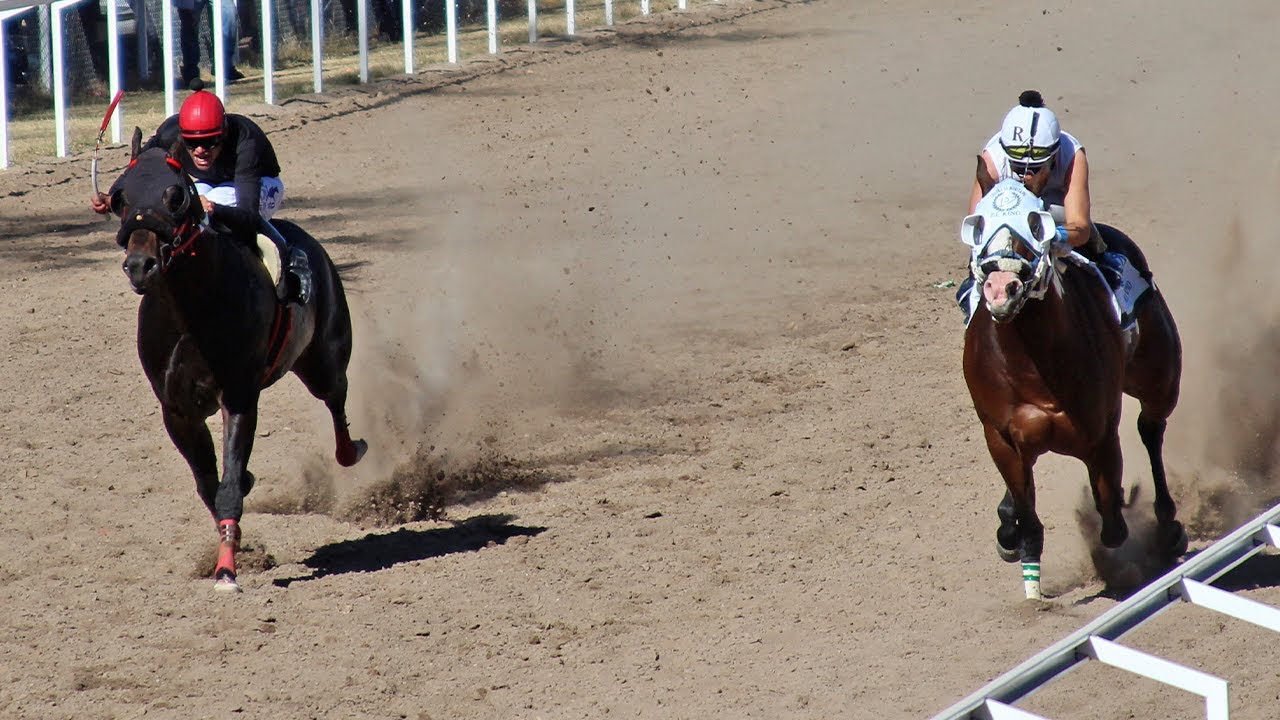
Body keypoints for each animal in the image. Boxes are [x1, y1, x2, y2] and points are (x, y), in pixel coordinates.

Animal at [107, 130, 368, 592]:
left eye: (176, 196)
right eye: (119, 196)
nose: (140, 266)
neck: (191, 309)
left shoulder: (240, 395)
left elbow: (226, 485)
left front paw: (227, 568)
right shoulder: (177, 411)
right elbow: (211, 484)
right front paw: (234, 546)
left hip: (324, 356)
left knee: (336, 397)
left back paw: (350, 450)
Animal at [960, 161, 1186, 600]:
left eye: (1036, 223)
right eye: (978, 224)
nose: (1001, 288)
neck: (1030, 361)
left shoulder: (1099, 434)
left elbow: (1112, 522)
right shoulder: (1000, 436)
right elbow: (1028, 519)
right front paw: (1027, 575)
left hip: (1160, 377)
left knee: (1151, 429)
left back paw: (1168, 524)